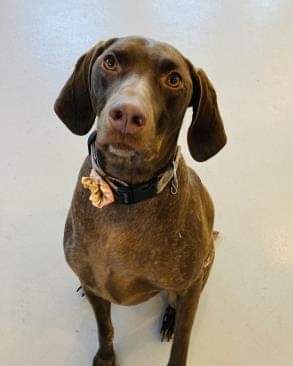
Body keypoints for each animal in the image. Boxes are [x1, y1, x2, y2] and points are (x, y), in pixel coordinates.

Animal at [54, 36, 226, 366]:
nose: (127, 116)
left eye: (174, 80)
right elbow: (104, 327)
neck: (125, 197)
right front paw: (106, 358)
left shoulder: (189, 288)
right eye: (110, 62)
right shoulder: (97, 287)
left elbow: (181, 346)